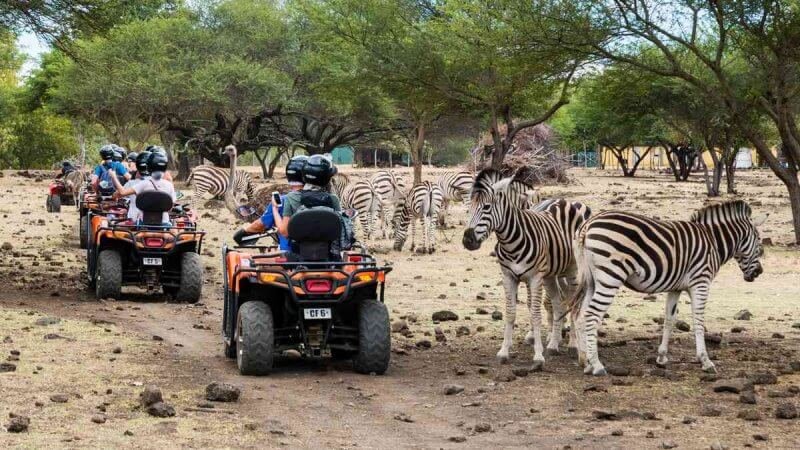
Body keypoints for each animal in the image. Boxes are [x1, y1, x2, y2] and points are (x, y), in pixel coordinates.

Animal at [462, 169, 591, 369]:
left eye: (487, 207)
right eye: (469, 208)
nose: (468, 240)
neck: (511, 242)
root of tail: (564, 201)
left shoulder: (535, 277)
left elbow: (535, 313)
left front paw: (538, 355)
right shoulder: (508, 276)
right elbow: (510, 313)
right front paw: (504, 351)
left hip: (573, 272)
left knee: (573, 303)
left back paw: (573, 345)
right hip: (551, 275)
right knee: (558, 303)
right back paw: (554, 344)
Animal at [571, 200, 766, 376]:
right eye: (759, 242)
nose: (759, 272)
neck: (713, 241)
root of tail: (588, 224)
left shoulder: (676, 288)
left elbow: (669, 319)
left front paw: (662, 358)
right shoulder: (700, 282)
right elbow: (698, 320)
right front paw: (705, 360)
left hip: (592, 280)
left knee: (581, 315)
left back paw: (586, 362)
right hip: (611, 276)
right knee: (592, 315)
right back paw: (597, 365)